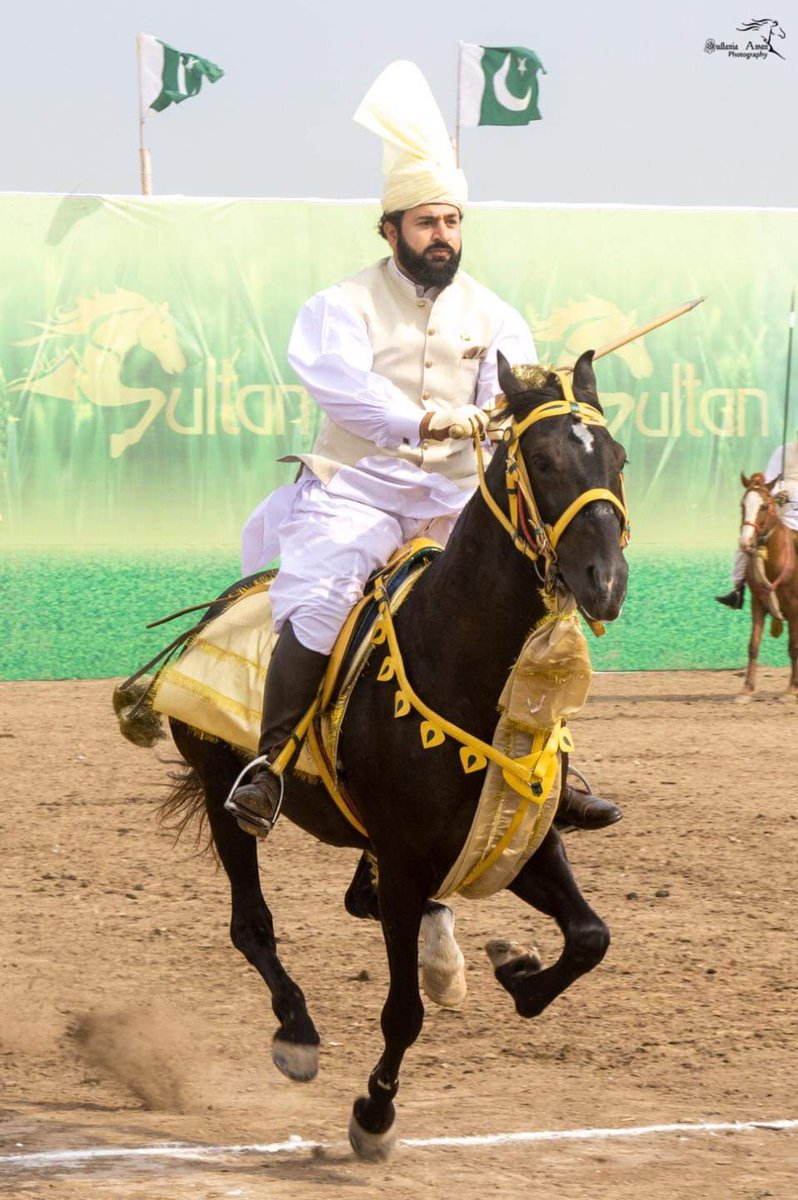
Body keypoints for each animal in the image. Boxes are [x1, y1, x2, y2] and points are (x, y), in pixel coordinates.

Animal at [134, 349, 629, 1159]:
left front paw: (517, 971)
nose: (605, 582)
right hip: (220, 791)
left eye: (617, 458)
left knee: (359, 902)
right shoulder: (403, 862)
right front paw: (373, 1113)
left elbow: (591, 937)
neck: (460, 663)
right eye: (544, 460)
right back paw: (298, 1030)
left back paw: (446, 959)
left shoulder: (518, 837)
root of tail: (227, 602)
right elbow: (402, 1013)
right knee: (252, 923)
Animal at [737, 471, 798, 699]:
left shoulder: (794, 607)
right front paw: (746, 689)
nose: (745, 542)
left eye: (764, 506)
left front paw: (791, 689)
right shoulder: (758, 602)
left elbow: (793, 646)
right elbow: (753, 644)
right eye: (743, 505)